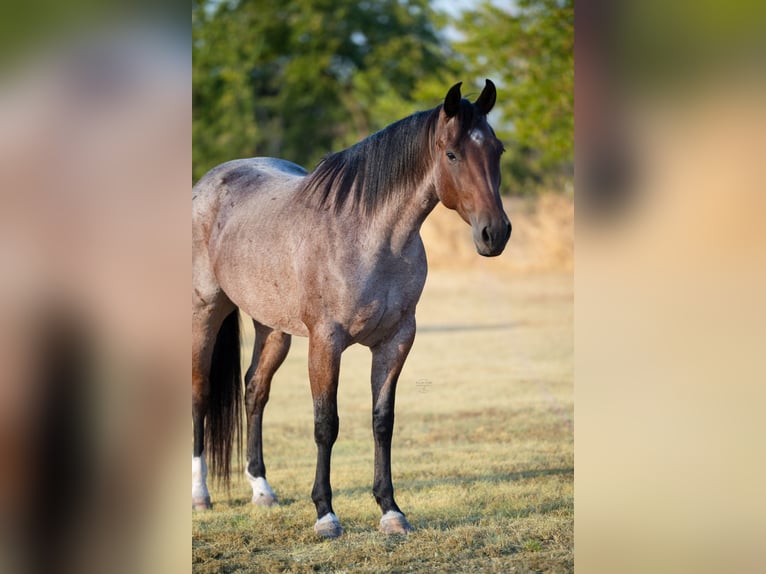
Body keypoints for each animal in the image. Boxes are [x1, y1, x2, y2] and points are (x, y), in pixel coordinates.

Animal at [192, 80, 511, 538]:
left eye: (497, 150)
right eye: (452, 154)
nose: (495, 233)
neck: (369, 237)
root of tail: (210, 181)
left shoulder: (397, 341)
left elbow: (382, 421)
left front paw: (391, 511)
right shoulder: (326, 343)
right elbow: (326, 424)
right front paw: (326, 515)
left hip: (273, 328)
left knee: (255, 391)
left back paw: (262, 490)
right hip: (206, 310)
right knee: (200, 393)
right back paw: (200, 495)